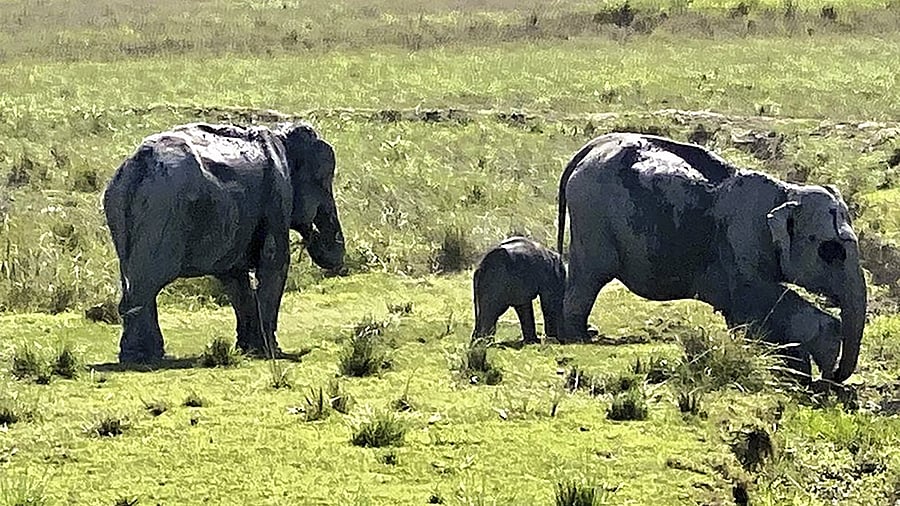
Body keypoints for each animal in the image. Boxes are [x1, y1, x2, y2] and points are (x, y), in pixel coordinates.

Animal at [103, 122, 345, 363]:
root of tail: (137, 166)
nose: (312, 235)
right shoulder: (278, 196)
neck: (282, 136)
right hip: (162, 212)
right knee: (148, 283)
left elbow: (234, 277)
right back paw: (143, 357)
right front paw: (271, 352)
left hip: (120, 211)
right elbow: (275, 261)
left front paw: (250, 349)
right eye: (324, 185)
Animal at [556, 132, 866, 383]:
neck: (787, 191)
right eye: (831, 251)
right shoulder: (741, 239)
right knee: (590, 276)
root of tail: (591, 148)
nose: (834, 376)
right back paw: (580, 337)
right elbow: (755, 298)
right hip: (591, 213)